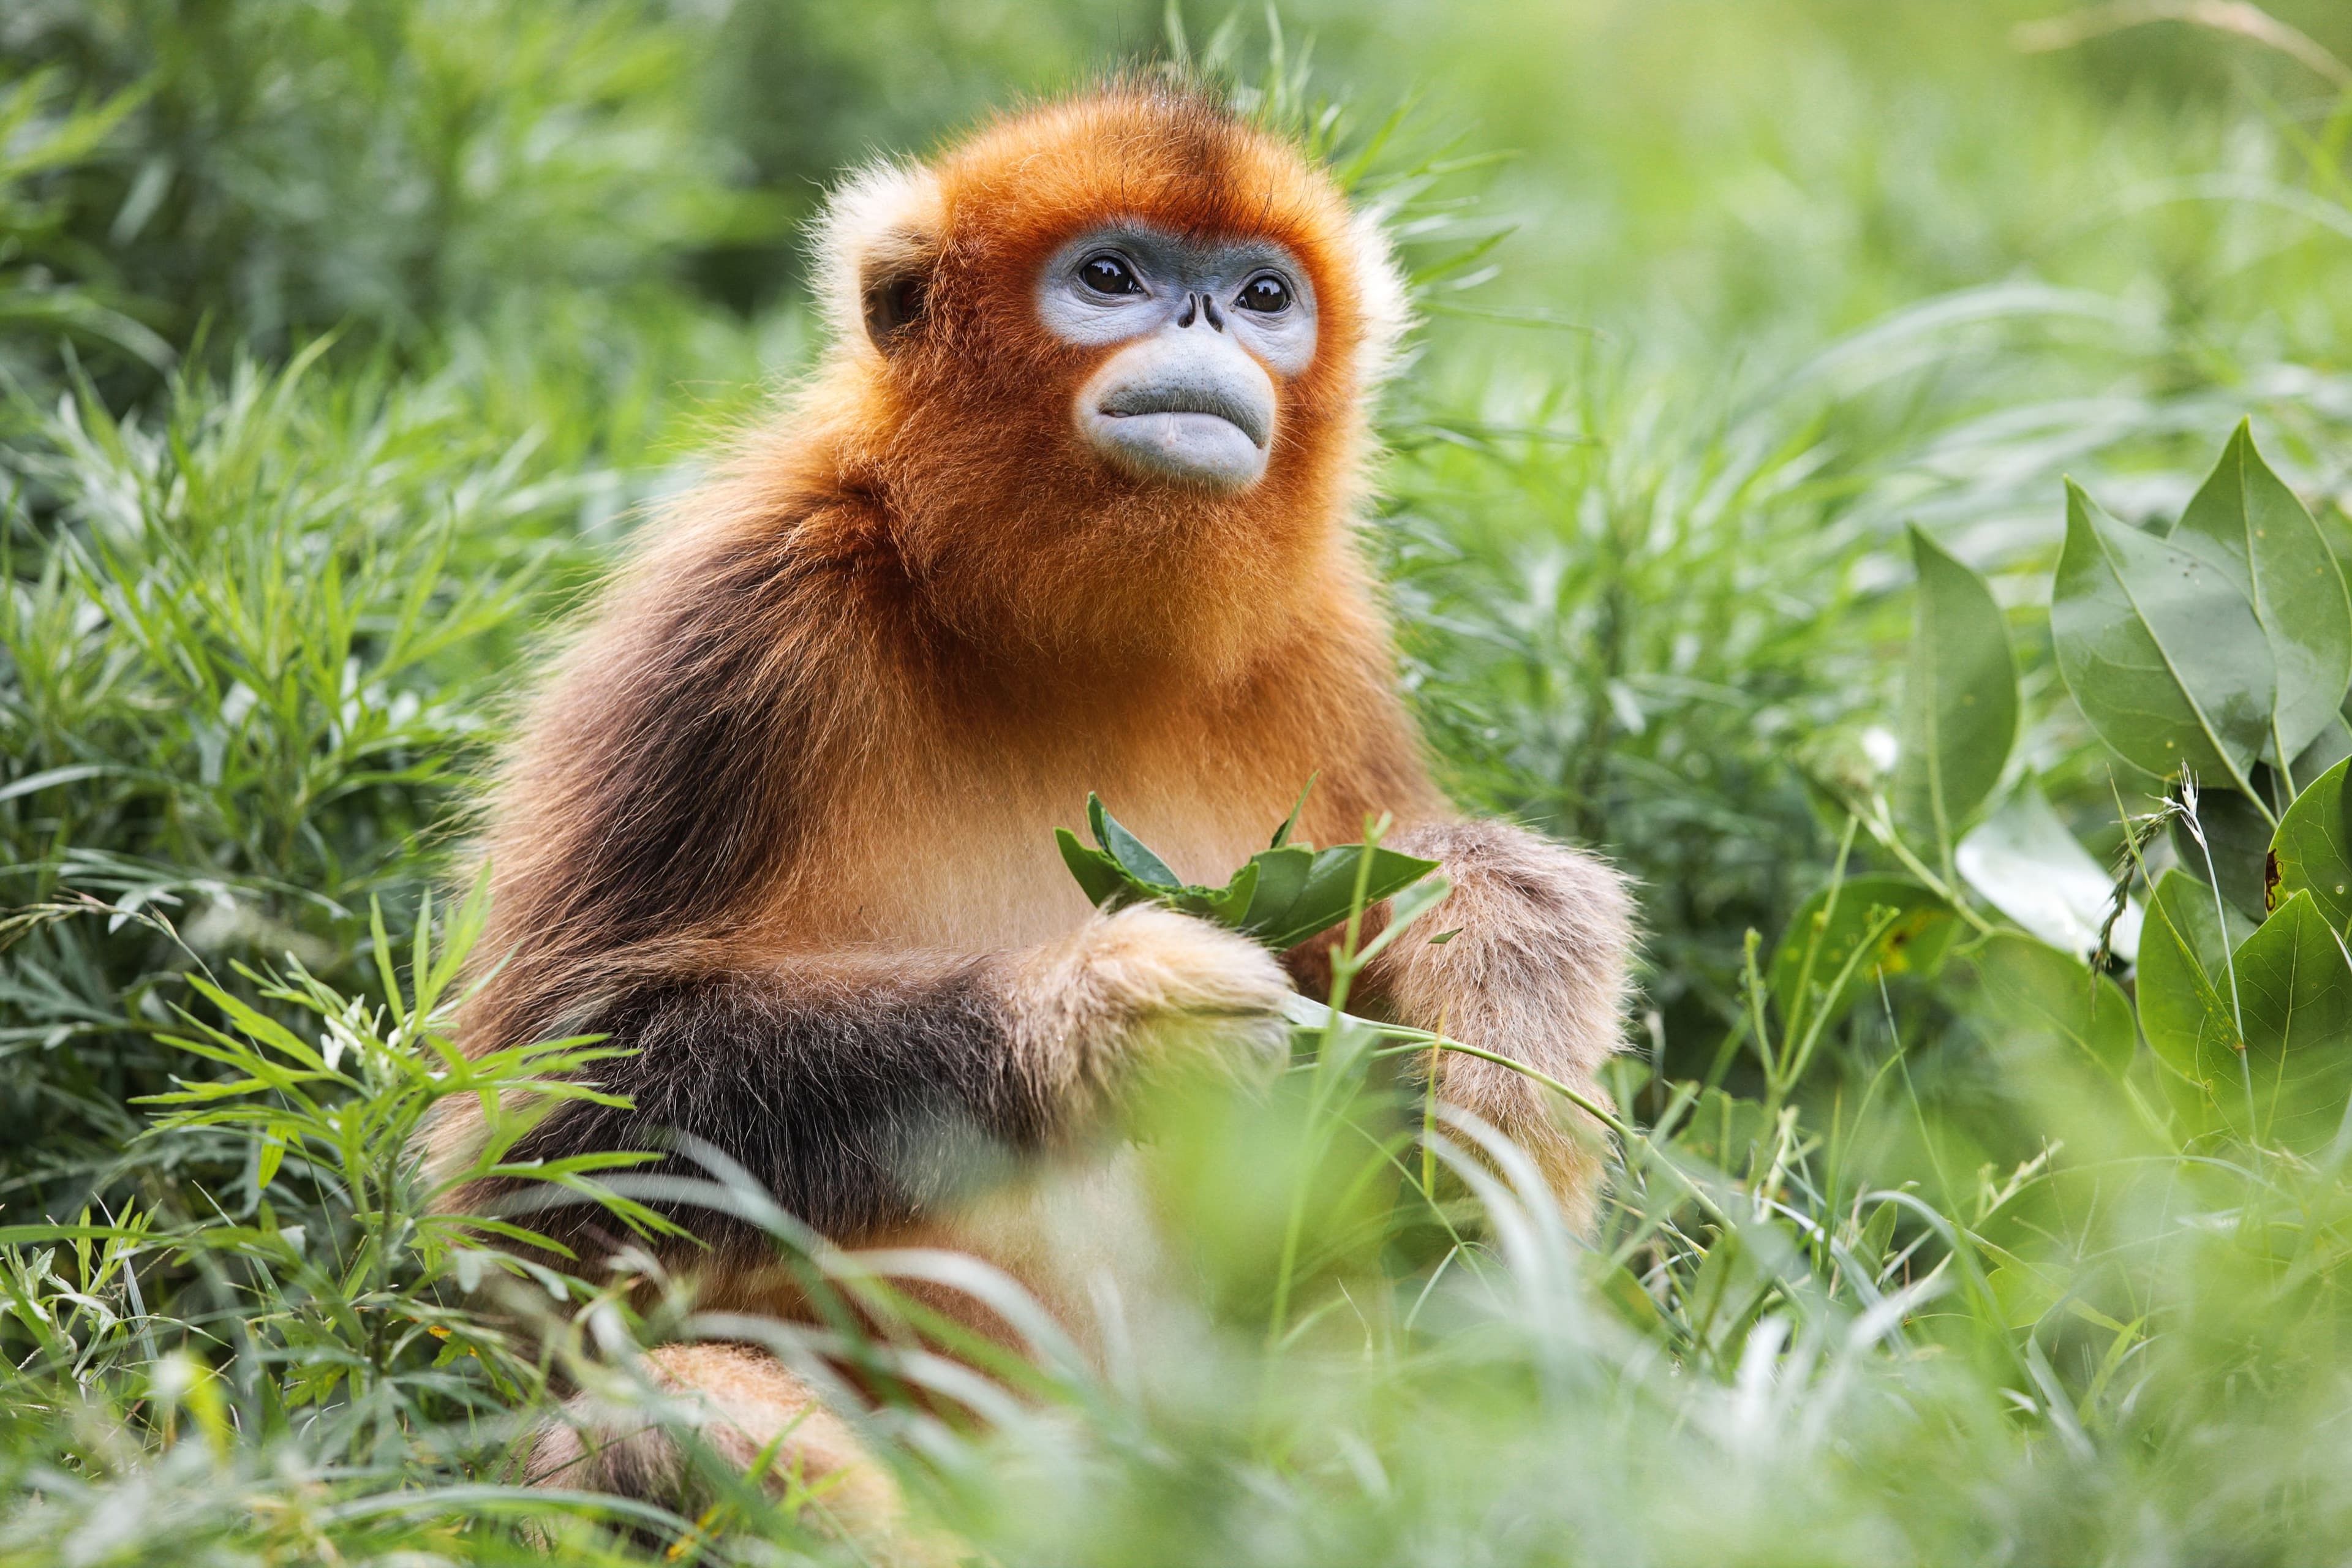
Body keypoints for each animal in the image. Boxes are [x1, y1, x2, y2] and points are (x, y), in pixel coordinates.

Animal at [426, 80, 1632, 1554]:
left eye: (1265, 293)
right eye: (1110, 279)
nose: (1204, 324)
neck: (1060, 648)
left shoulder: (1328, 648)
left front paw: (1510, 965)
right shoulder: (745, 617)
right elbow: (536, 1146)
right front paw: (1108, 1015)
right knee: (657, 1427)